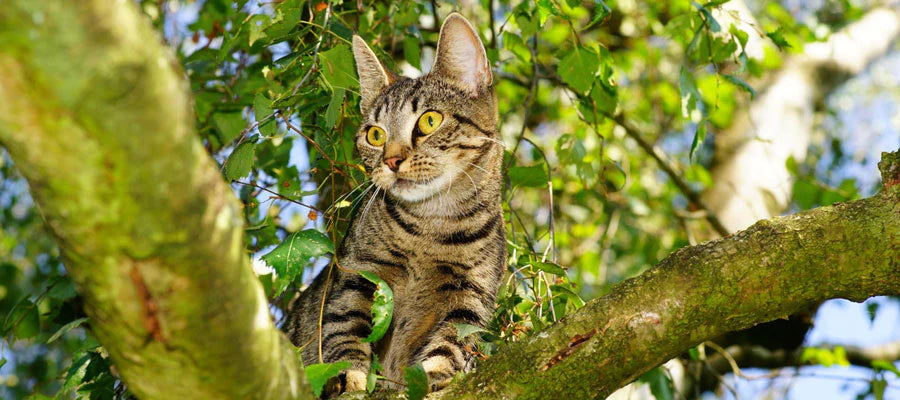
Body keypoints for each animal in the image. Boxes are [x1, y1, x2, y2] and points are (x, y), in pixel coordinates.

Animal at [284, 12, 506, 394]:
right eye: (375, 135)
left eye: (430, 121)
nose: (391, 160)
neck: (432, 227)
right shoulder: (358, 274)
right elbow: (344, 330)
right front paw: (351, 376)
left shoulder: (469, 297)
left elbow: (451, 344)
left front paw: (434, 375)